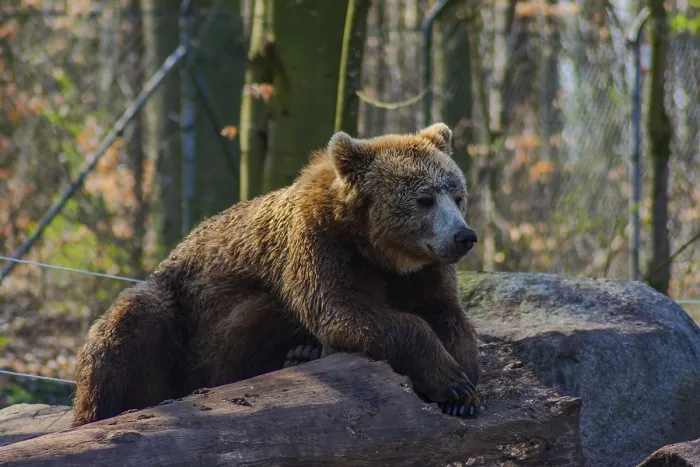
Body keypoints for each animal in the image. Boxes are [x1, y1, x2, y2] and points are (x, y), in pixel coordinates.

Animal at [72, 123, 480, 426]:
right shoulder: (317, 245)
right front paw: (451, 382)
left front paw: (463, 385)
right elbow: (344, 309)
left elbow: (446, 311)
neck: (375, 249)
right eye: (424, 199)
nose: (464, 236)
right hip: (181, 319)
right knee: (132, 321)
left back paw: (301, 353)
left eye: (457, 195)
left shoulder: (422, 271)